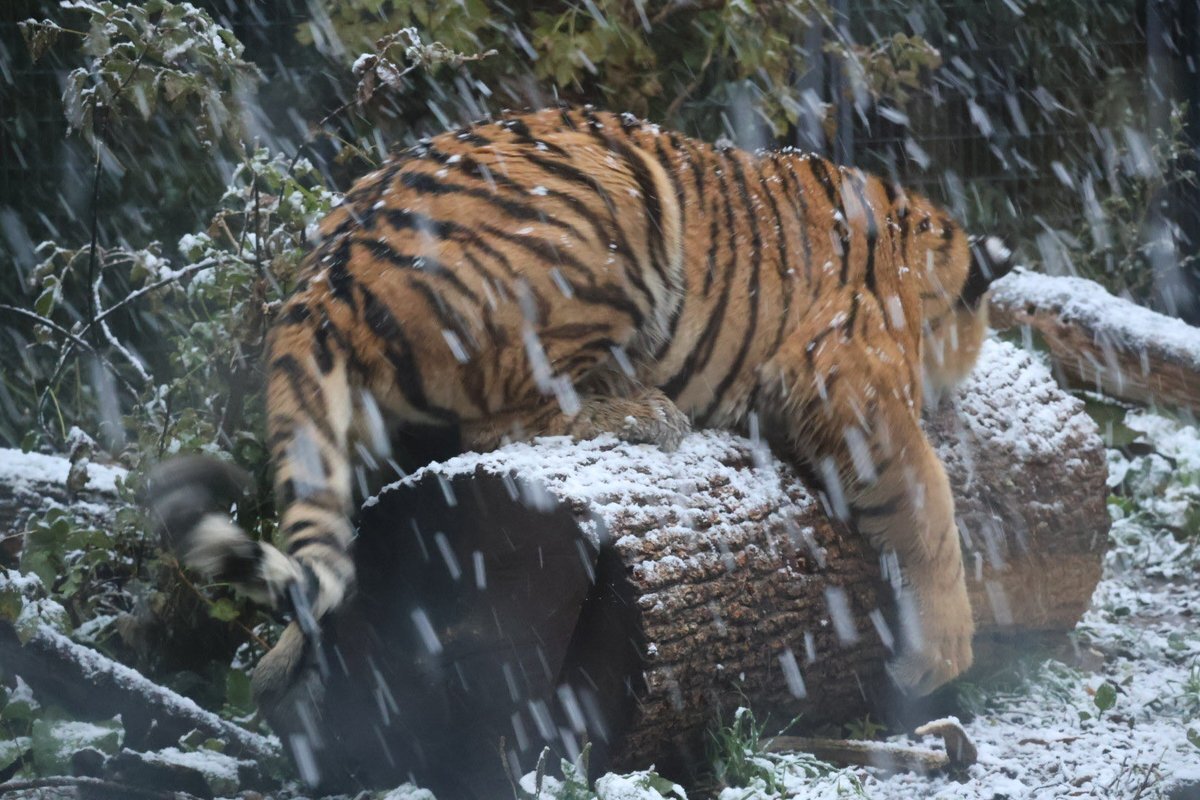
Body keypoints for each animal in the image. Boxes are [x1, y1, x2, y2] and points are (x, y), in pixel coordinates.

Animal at [147, 105, 1014, 705]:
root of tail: (331, 263)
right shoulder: (844, 371)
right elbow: (925, 495)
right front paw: (940, 654)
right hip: (604, 223)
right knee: (500, 421)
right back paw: (640, 412)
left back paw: (274, 669)